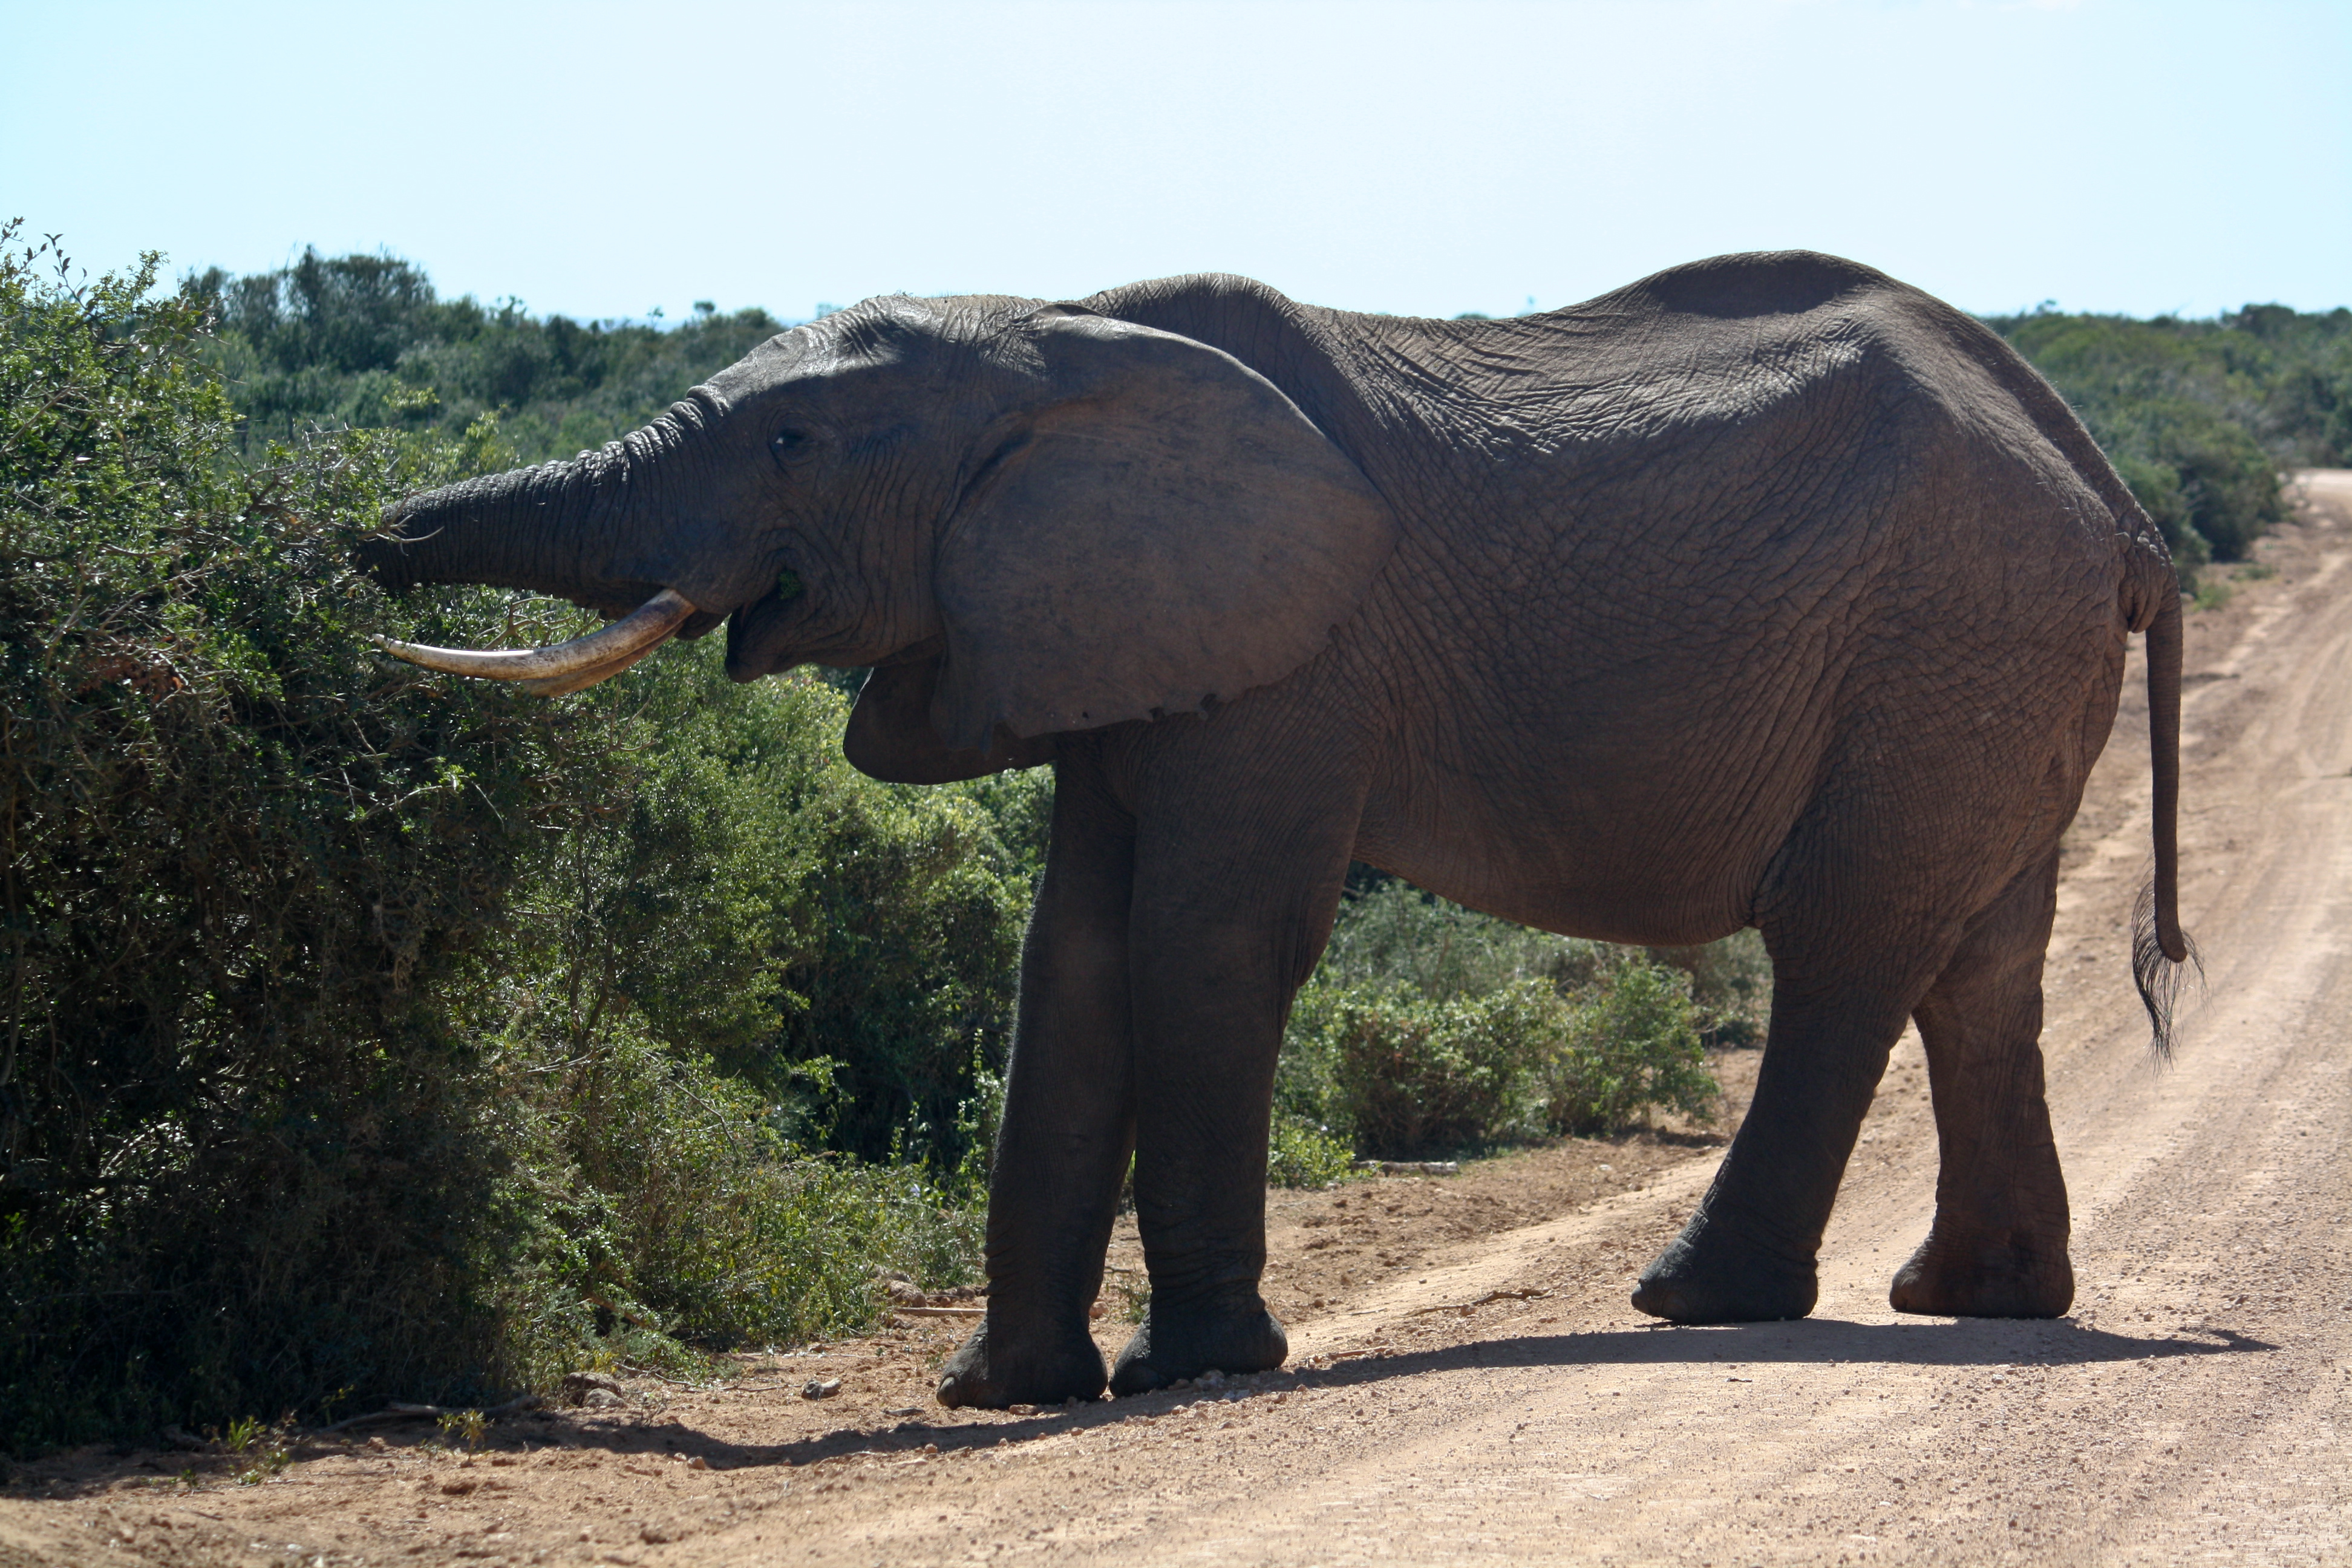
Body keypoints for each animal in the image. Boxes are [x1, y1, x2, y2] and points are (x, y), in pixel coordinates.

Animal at [362, 250, 2193, 1408]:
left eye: (792, 440)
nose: (345, 554)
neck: (1064, 328)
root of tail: (2118, 497)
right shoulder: (1110, 634)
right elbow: (1070, 960)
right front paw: (1004, 1395)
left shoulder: (1296, 659)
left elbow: (1203, 941)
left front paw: (1194, 1371)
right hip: (1983, 662)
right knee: (1978, 970)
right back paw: (1976, 1300)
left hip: (1943, 636)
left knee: (1845, 949)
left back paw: (1698, 1299)